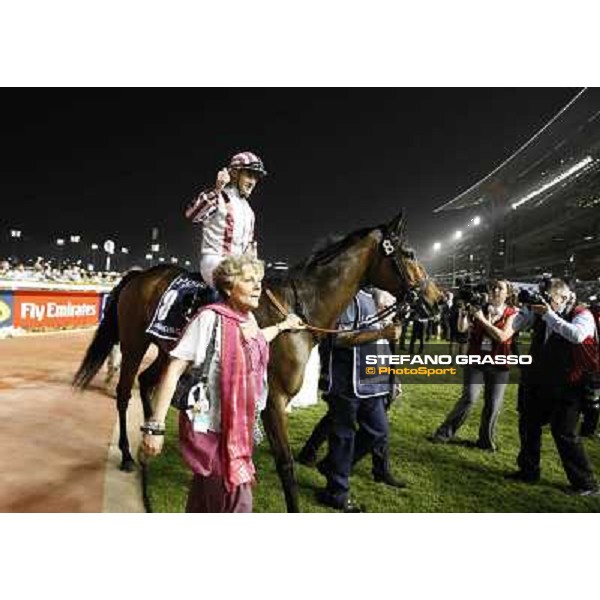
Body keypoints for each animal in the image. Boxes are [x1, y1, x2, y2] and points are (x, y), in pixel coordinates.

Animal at [72, 211, 442, 510]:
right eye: (409, 254)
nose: (438, 300)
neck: (299, 307)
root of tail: (139, 275)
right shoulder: (274, 398)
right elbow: (285, 463)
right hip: (134, 342)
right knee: (124, 392)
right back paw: (127, 455)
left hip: (168, 350)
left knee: (149, 382)